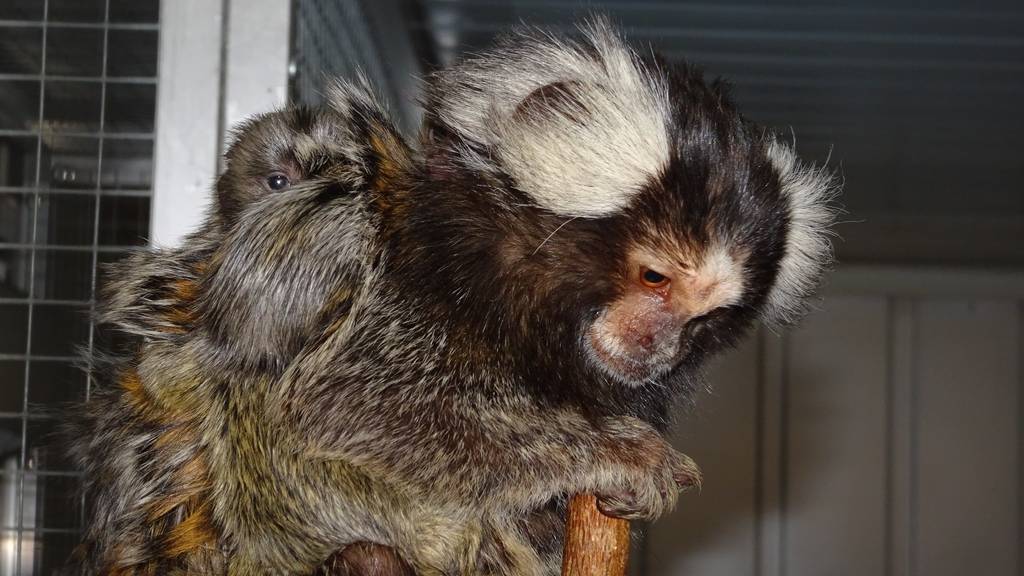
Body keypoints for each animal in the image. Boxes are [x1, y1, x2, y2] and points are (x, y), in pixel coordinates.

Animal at [74, 19, 839, 573]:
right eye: (655, 278)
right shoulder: (372, 268)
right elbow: (342, 408)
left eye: (706, 318)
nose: (660, 343)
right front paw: (614, 454)